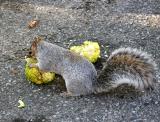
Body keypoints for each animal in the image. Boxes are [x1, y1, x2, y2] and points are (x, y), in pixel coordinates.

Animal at [27, 36, 158, 96]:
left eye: (30, 51)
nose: (27, 55)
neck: (44, 48)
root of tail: (91, 85)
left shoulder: (46, 61)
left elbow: (42, 67)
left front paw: (31, 64)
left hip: (72, 84)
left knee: (77, 94)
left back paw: (66, 94)